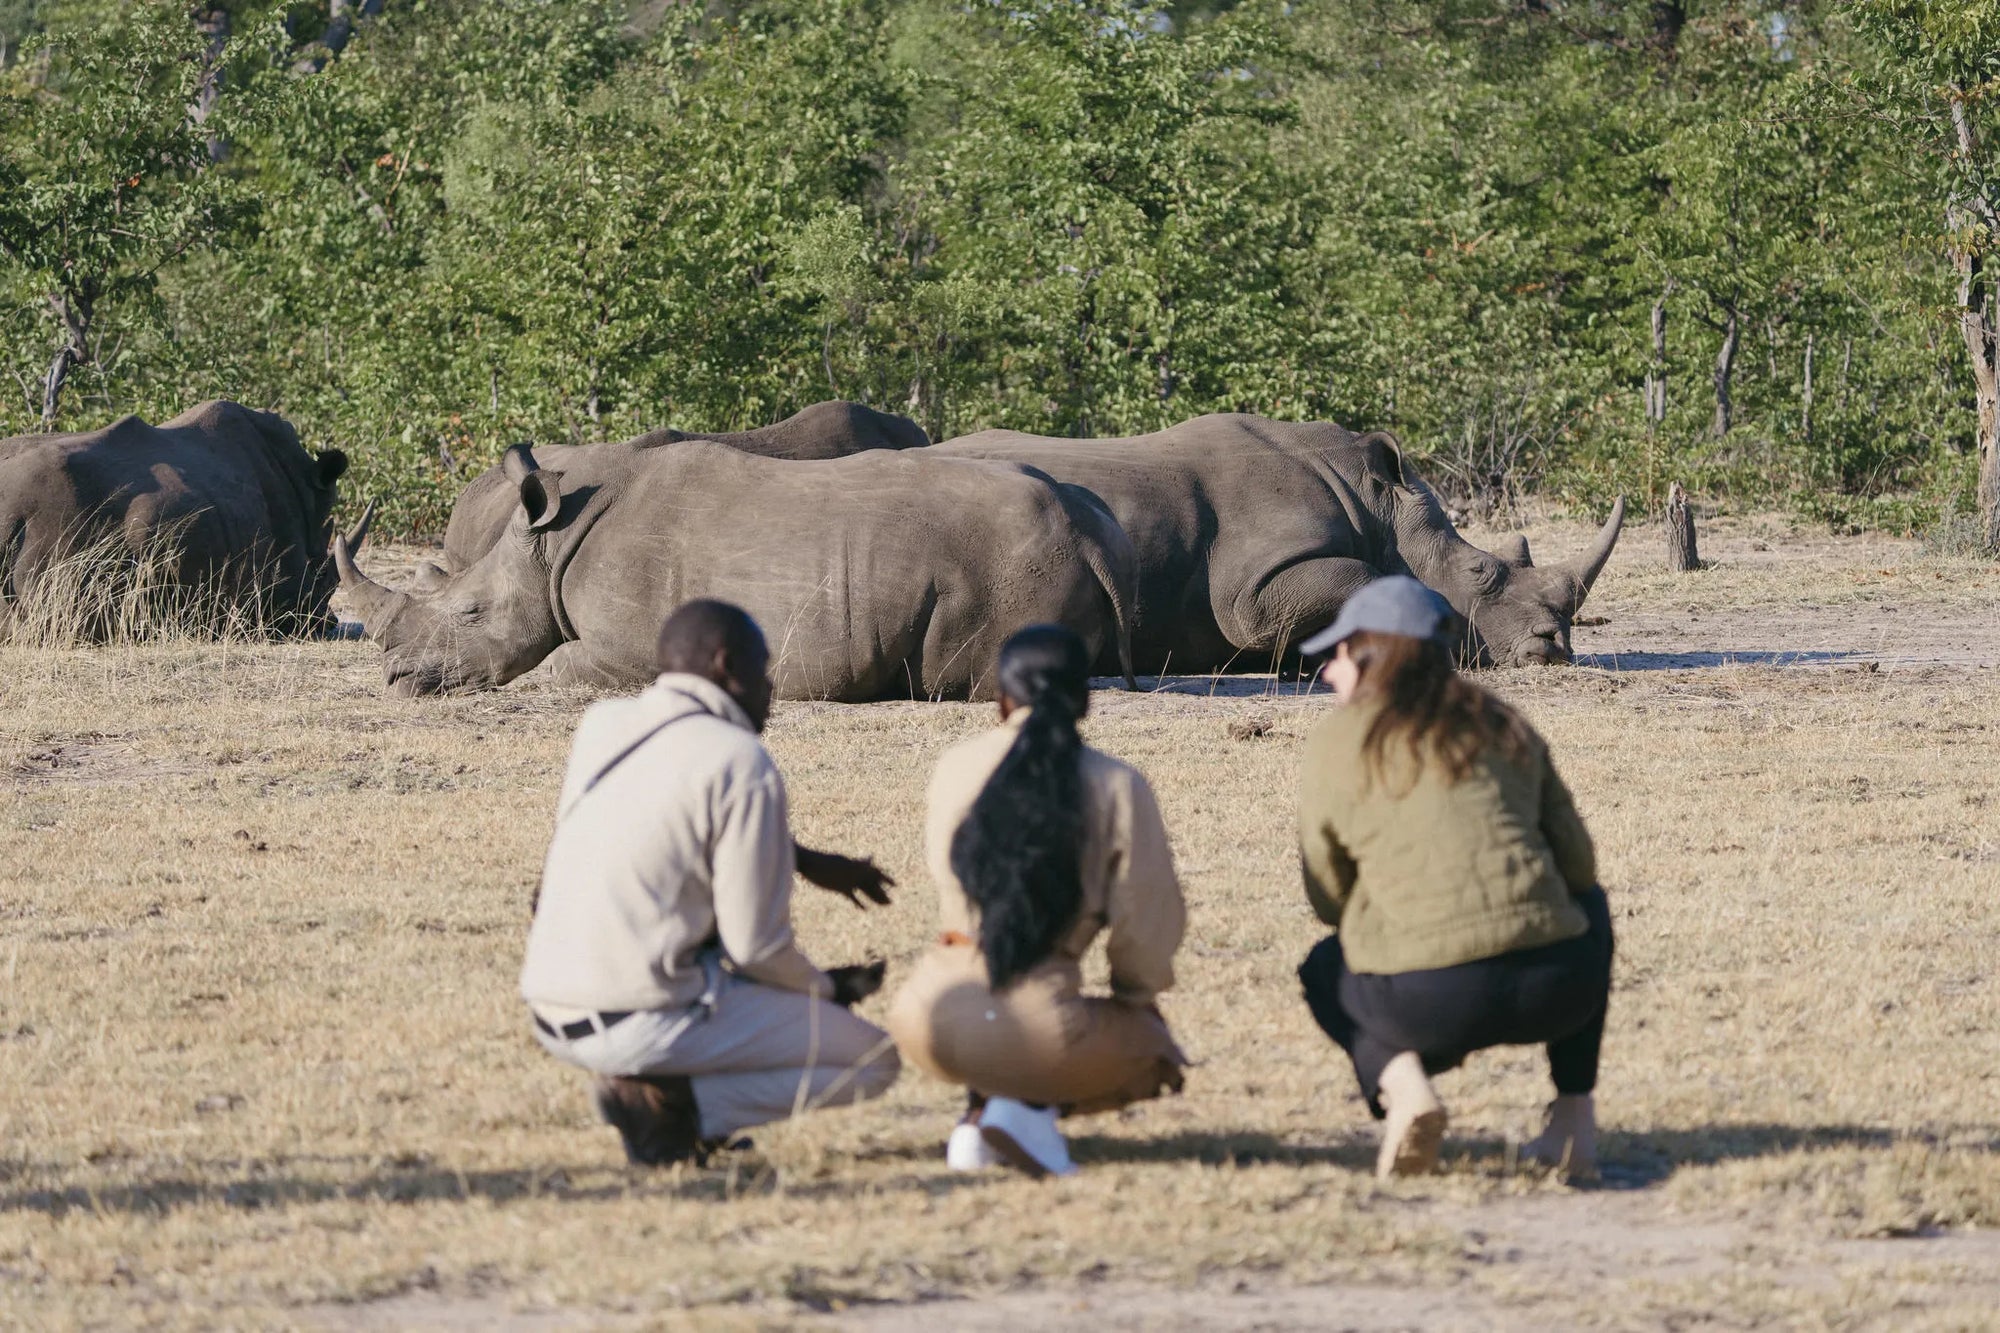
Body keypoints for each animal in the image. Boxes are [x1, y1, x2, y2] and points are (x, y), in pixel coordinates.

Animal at [334, 437, 1138, 700]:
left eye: (471, 613)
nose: (396, 678)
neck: (549, 547)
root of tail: (1092, 535)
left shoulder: (629, 649)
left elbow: (552, 668)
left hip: (1011, 562)